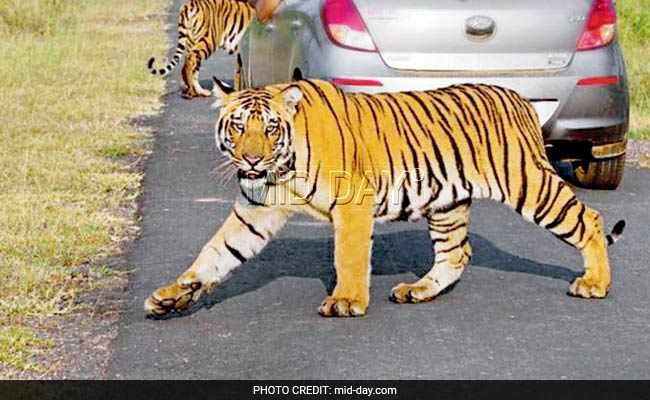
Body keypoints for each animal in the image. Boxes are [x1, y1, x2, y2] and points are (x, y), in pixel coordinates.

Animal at [144, 78, 625, 318]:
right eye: (239, 126)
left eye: (270, 128)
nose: (252, 160)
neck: (281, 168)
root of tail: (520, 98)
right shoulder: (255, 211)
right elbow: (215, 254)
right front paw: (171, 296)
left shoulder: (352, 203)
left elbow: (348, 257)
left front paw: (346, 301)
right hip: (446, 204)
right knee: (456, 253)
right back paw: (418, 290)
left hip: (529, 184)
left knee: (589, 220)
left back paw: (595, 284)